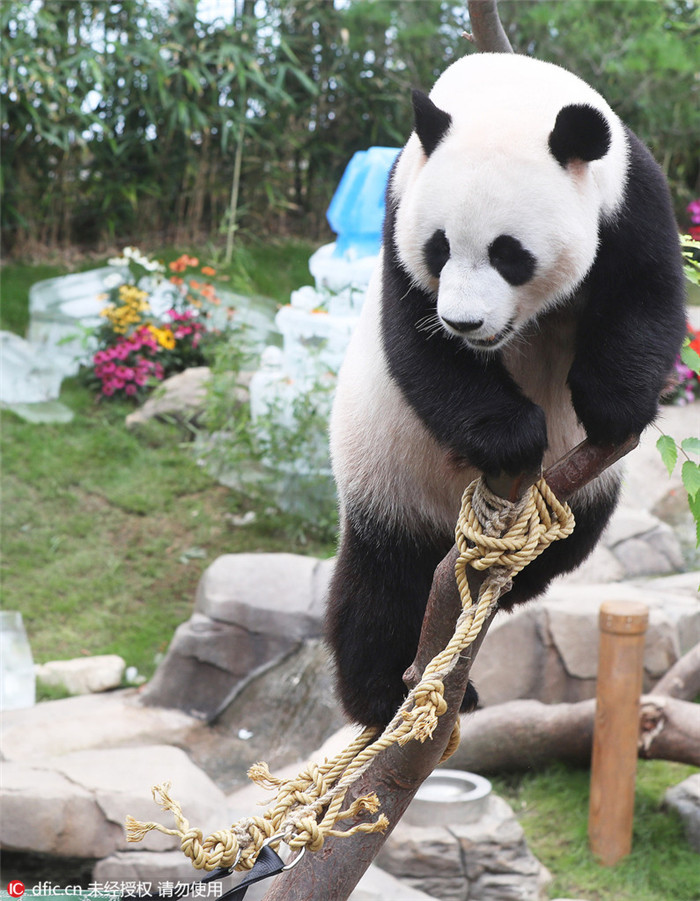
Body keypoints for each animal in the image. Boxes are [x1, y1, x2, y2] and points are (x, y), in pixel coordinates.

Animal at [325, 52, 687, 729]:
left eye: (508, 254)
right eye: (439, 248)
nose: (465, 322)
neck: (507, 89)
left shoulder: (633, 197)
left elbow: (647, 296)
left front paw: (614, 406)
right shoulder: (399, 204)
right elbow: (417, 340)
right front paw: (511, 437)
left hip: (584, 491)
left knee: (569, 544)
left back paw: (506, 586)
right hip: (384, 474)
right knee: (381, 585)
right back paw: (382, 692)